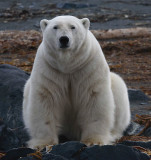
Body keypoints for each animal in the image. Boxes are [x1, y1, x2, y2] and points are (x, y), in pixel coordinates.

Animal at [22, 15, 131, 149]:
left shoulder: (88, 67)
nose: (64, 39)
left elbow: (93, 99)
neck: (68, 65)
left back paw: (114, 134)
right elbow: (45, 100)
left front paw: (94, 141)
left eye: (73, 27)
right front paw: (43, 144)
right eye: (55, 27)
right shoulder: (49, 70)